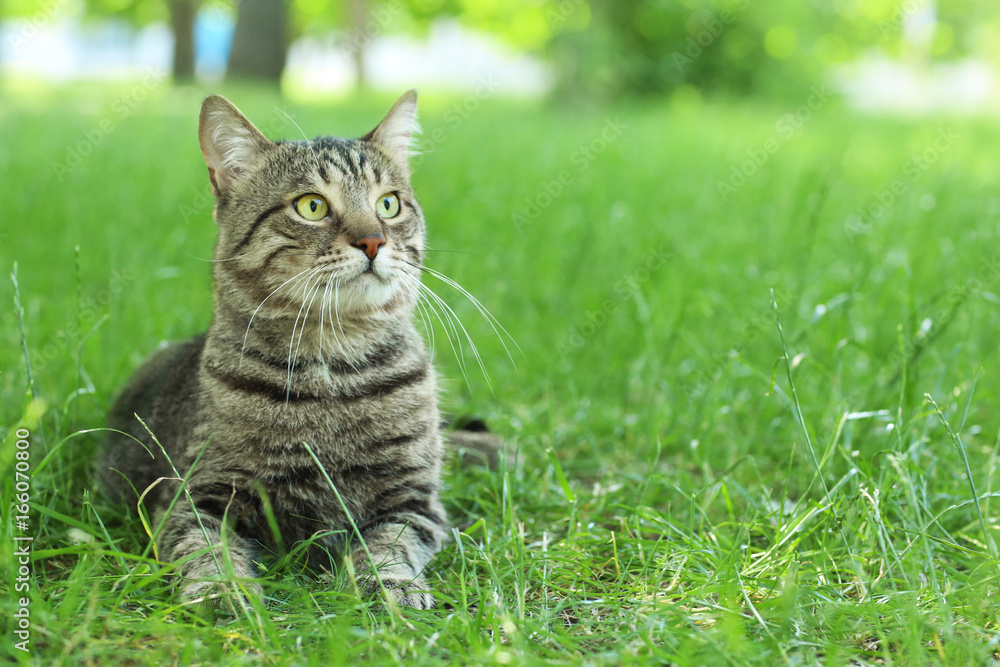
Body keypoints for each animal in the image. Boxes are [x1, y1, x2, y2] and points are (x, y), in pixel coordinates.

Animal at [97, 90, 496, 612]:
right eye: (311, 206)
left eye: (388, 204)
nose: (374, 240)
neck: (335, 364)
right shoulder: (194, 495)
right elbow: (206, 548)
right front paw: (223, 591)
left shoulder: (412, 497)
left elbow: (390, 545)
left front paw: (388, 587)